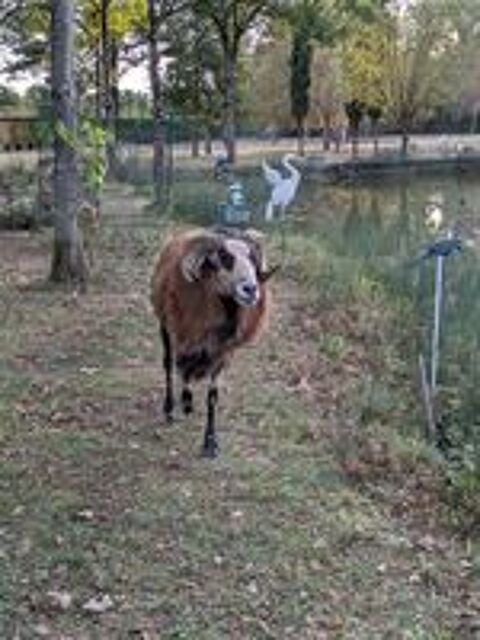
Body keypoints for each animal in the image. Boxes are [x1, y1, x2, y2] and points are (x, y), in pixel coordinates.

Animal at [151, 226, 275, 458]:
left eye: (253, 260)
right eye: (224, 258)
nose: (251, 290)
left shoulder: (222, 354)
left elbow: (212, 396)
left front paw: (210, 444)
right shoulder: (185, 338)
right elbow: (181, 370)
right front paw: (183, 405)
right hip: (165, 328)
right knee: (169, 365)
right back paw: (170, 408)